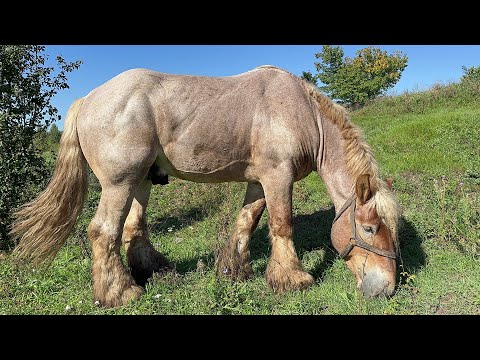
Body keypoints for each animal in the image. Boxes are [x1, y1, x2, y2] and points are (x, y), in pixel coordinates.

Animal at [11, 64, 402, 306]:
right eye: (369, 228)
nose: (386, 288)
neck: (301, 112)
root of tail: (87, 99)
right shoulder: (278, 177)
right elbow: (282, 224)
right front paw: (293, 280)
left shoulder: (259, 181)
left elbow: (247, 221)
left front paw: (235, 271)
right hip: (119, 184)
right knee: (103, 232)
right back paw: (119, 293)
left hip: (141, 181)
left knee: (133, 229)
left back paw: (153, 270)